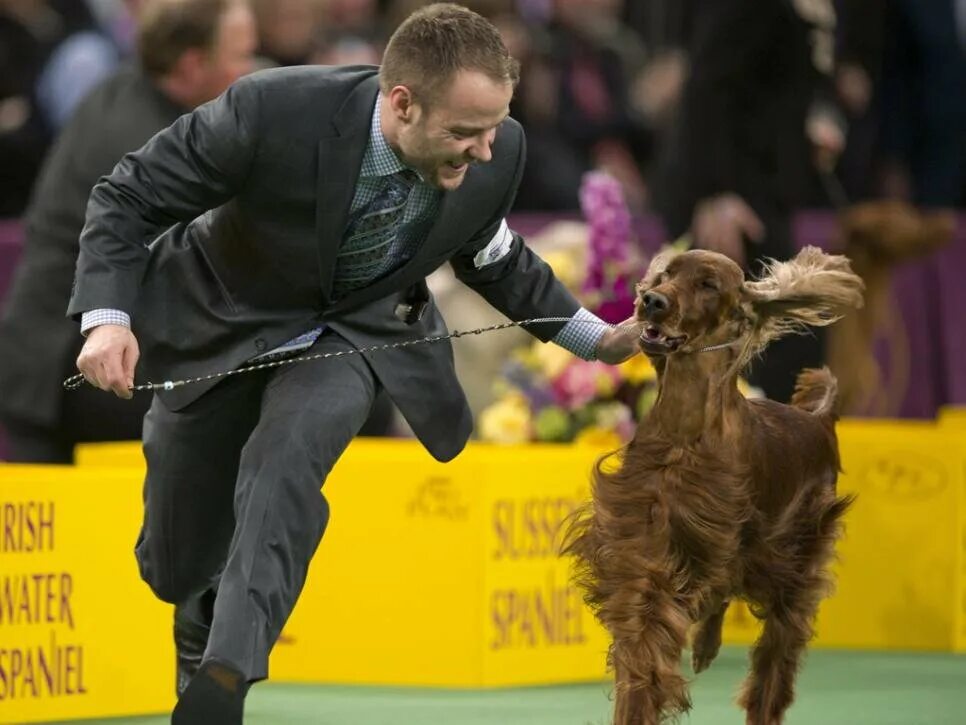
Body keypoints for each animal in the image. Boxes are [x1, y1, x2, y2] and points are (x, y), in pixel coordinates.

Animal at [564, 245, 864, 724]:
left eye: (707, 284)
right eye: (667, 273)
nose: (652, 300)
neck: (684, 434)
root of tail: (818, 421)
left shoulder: (705, 536)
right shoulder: (644, 537)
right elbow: (643, 624)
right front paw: (638, 699)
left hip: (791, 557)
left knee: (777, 646)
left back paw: (762, 703)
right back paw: (705, 648)